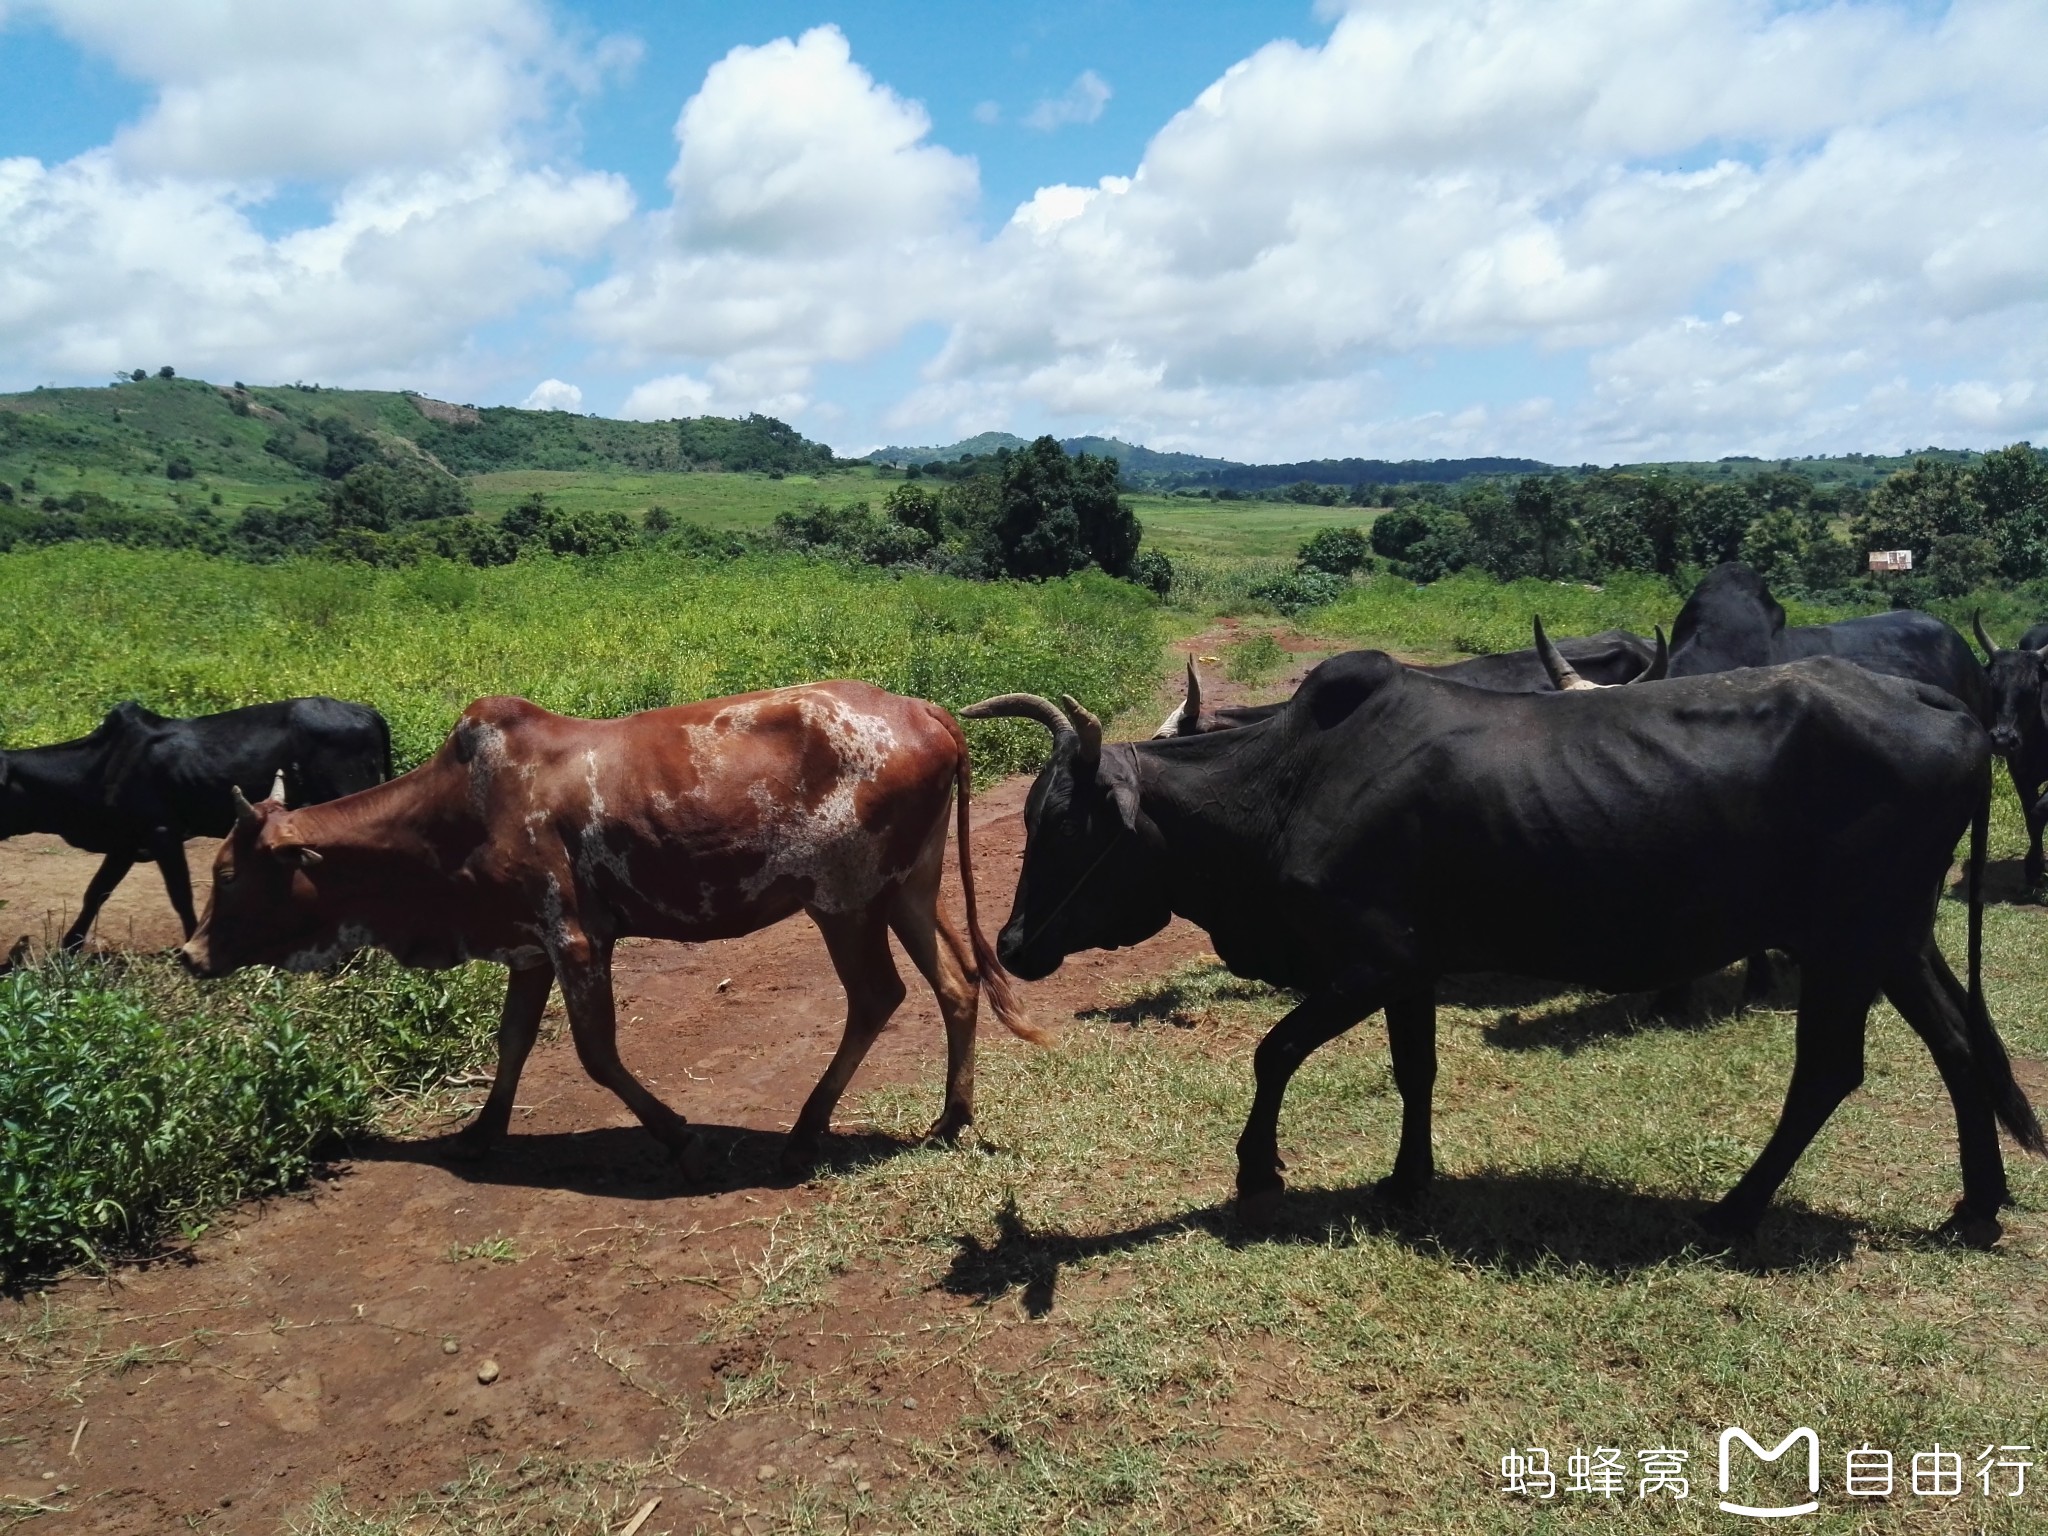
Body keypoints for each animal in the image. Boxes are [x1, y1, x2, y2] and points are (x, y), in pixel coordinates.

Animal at [0, 700, 389, 950]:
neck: (100, 767)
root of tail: (368, 713)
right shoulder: (125, 844)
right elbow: (96, 892)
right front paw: (69, 946)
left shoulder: (163, 835)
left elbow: (180, 896)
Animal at [178, 679, 1040, 1171]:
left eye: (228, 875)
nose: (190, 954)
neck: (453, 814)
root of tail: (922, 710)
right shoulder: (527, 947)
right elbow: (514, 1042)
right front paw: (482, 1131)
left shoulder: (574, 940)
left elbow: (596, 1055)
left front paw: (678, 1132)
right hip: (906, 890)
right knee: (956, 985)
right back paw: (951, 1116)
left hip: (844, 901)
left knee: (876, 997)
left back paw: (806, 1129)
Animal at [966, 655, 2039, 1245]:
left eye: (1064, 826)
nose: (1010, 945)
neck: (1286, 783)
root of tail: (1952, 710)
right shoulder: (1409, 970)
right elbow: (1415, 1071)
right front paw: (1408, 1181)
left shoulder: (1366, 962)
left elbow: (1274, 1052)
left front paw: (1258, 1172)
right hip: (1894, 940)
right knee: (1959, 1049)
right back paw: (1976, 1205)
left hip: (1849, 944)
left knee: (1828, 1070)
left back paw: (1736, 1211)